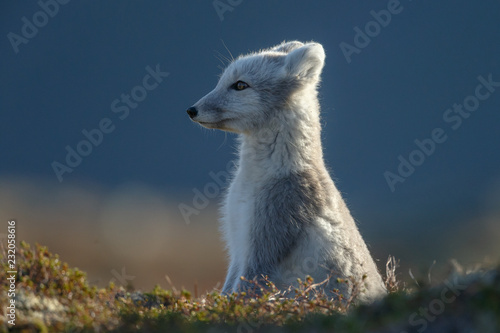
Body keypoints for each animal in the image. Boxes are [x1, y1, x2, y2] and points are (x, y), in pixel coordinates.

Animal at [188, 40, 386, 302]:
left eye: (240, 85)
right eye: (221, 80)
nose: (191, 110)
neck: (254, 180)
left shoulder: (266, 243)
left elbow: (243, 291)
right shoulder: (237, 245)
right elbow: (228, 286)